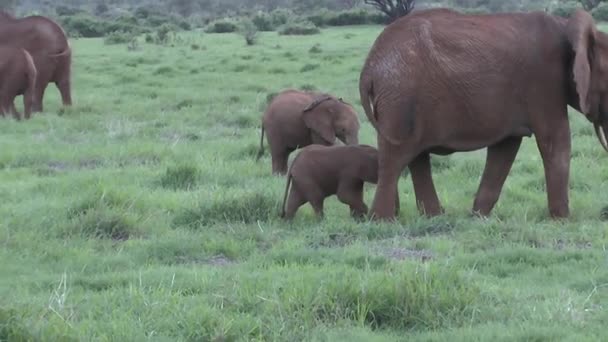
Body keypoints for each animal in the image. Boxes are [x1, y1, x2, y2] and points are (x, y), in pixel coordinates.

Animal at [358, 8, 608, 222]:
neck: (567, 26)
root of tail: (369, 65)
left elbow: (504, 149)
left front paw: (478, 217)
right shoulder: (544, 82)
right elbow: (556, 141)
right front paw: (563, 221)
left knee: (416, 157)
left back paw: (434, 217)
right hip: (399, 98)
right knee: (395, 158)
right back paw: (382, 221)